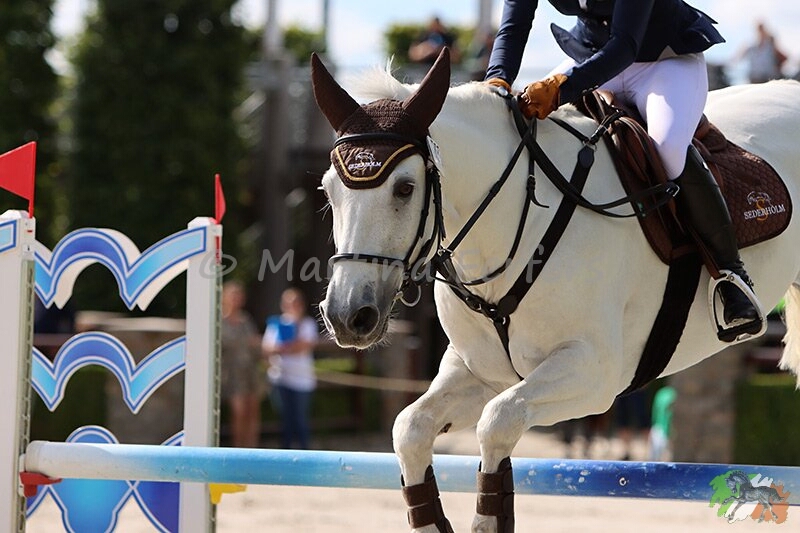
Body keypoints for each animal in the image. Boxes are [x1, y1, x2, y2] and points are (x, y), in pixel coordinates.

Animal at [310, 48, 800, 533]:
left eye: (405, 188)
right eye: (329, 190)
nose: (347, 317)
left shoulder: (593, 374)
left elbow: (498, 421)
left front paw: (488, 517)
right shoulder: (481, 371)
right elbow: (410, 428)